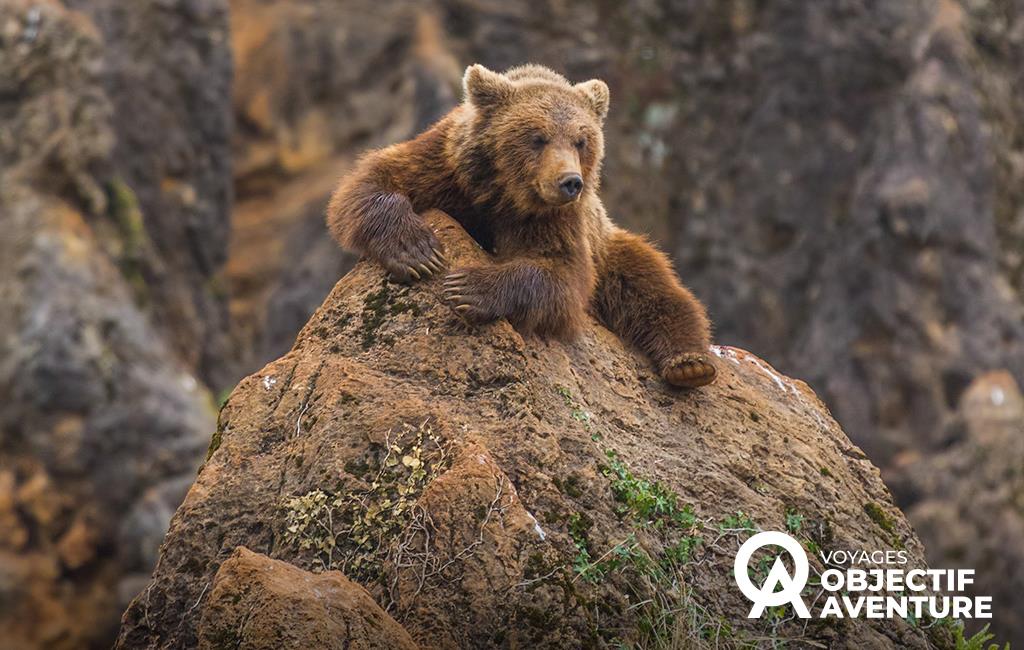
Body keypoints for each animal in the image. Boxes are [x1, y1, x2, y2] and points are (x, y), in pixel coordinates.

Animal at [327, 62, 712, 386]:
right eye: (538, 137)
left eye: (581, 140)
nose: (570, 182)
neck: (504, 191)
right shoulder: (446, 166)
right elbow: (374, 180)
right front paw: (418, 251)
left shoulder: (554, 219)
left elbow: (561, 273)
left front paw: (468, 287)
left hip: (607, 245)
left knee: (653, 287)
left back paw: (690, 364)